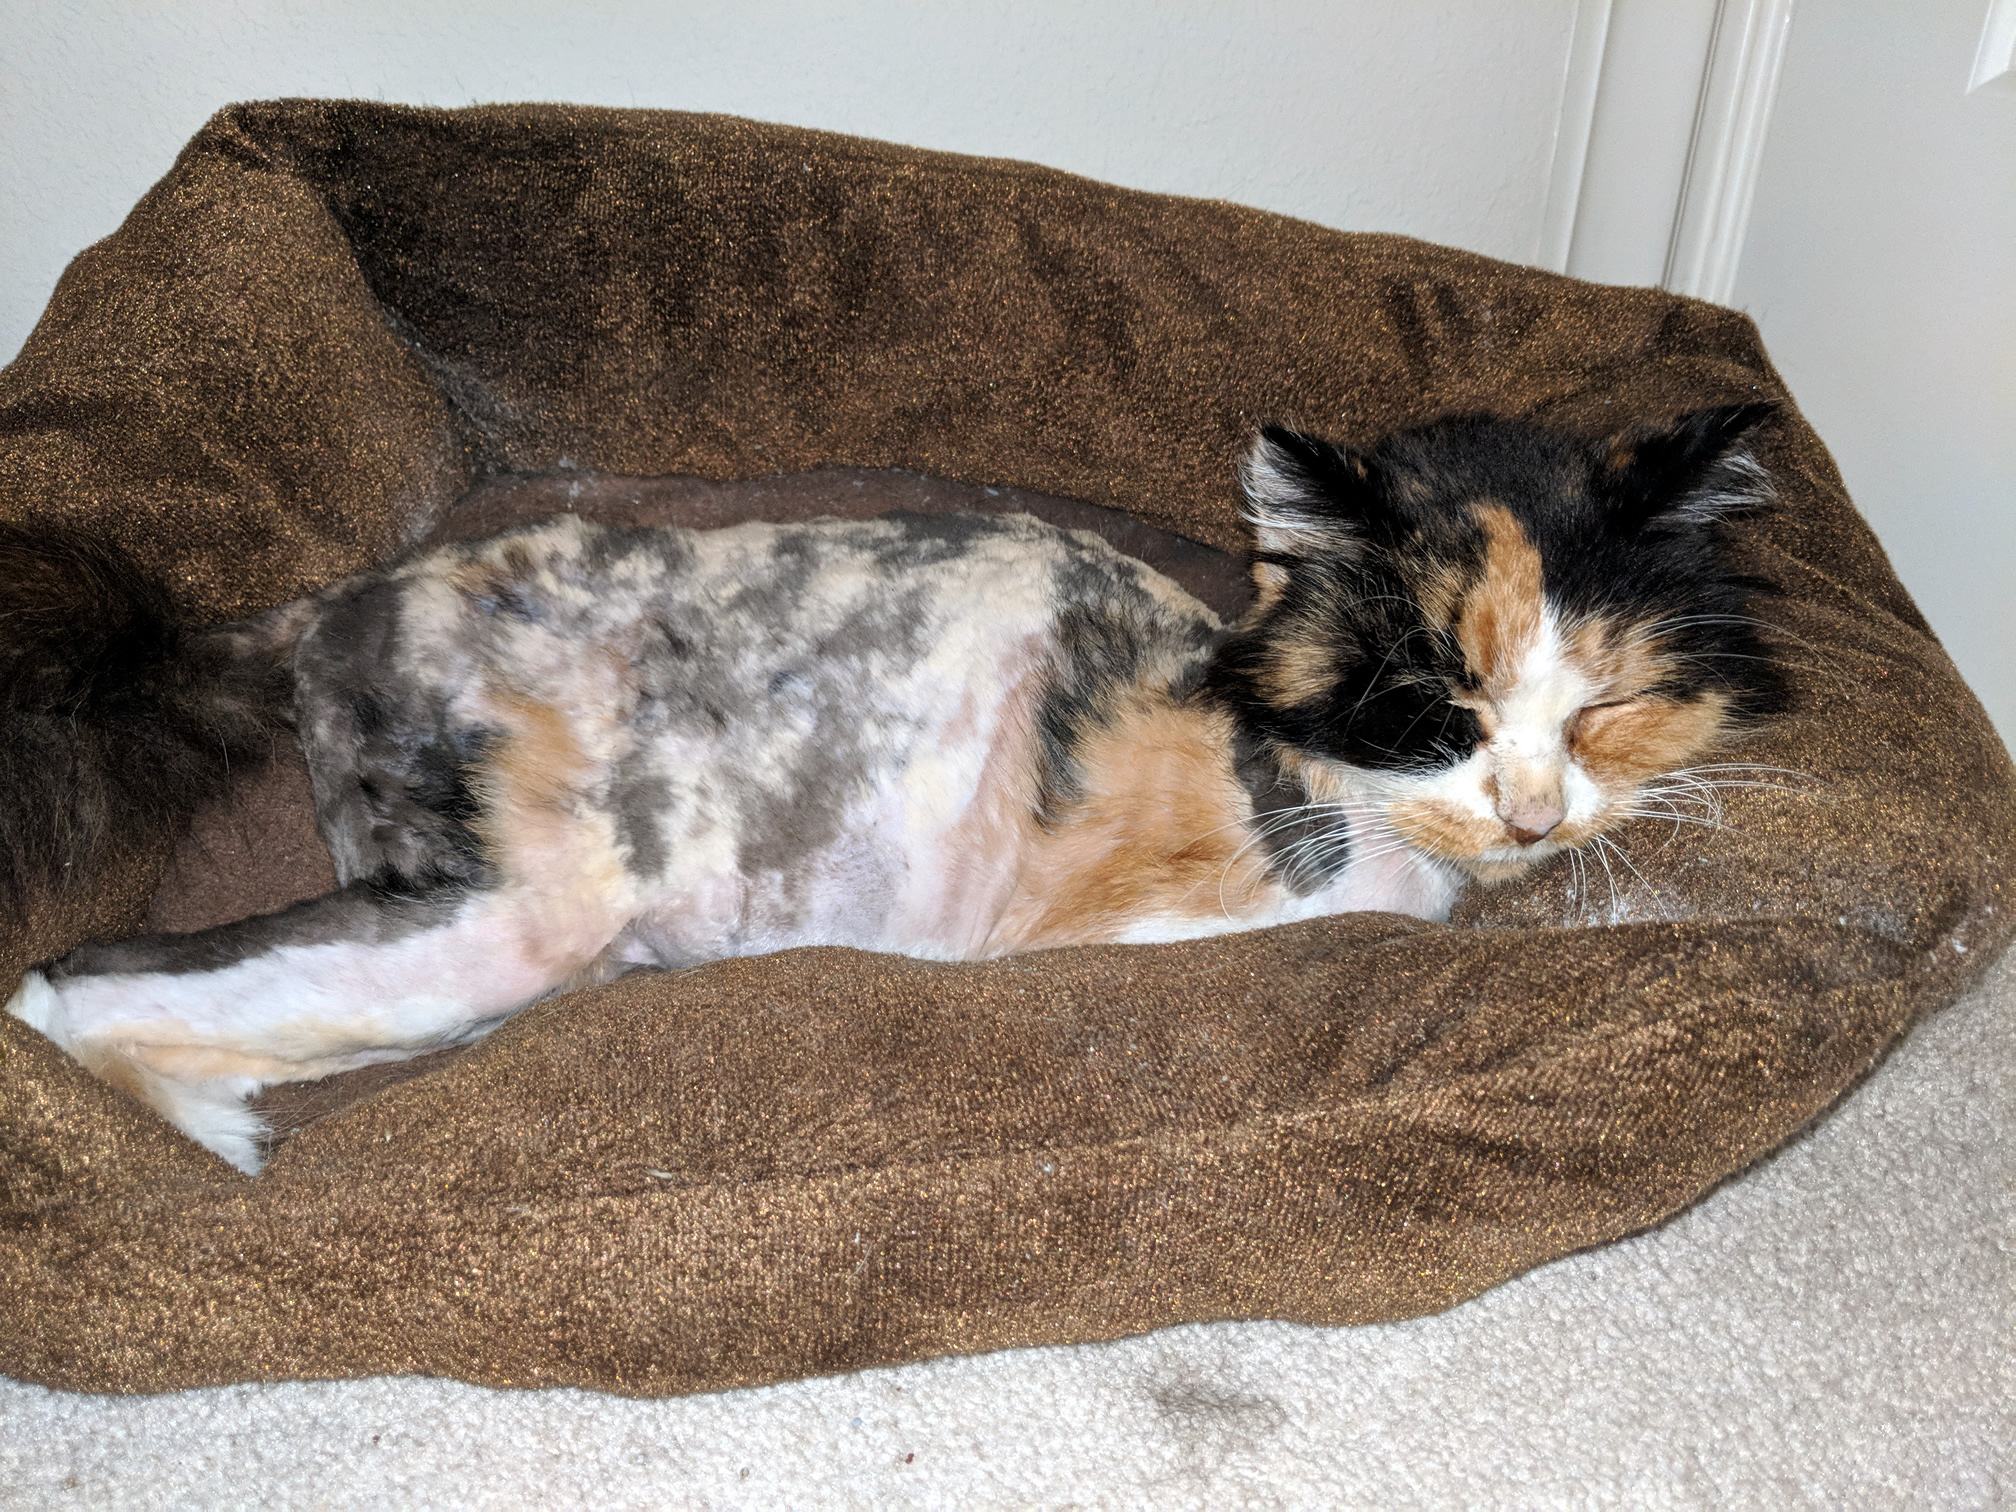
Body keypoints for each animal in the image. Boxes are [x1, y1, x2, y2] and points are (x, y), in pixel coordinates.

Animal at [3, 406, 1785, 1173]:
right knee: (75, 984)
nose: (1535, 817)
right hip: (508, 912)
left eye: (1606, 708)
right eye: (1439, 708)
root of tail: (322, 610)